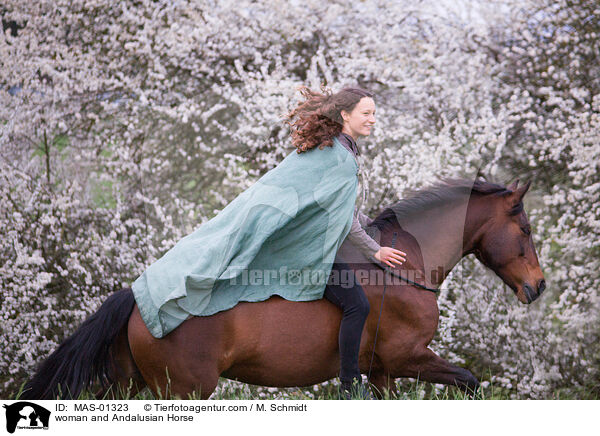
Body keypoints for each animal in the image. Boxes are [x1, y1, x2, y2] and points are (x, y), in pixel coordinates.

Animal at [21, 177, 544, 398]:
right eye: (525, 230)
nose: (538, 287)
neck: (401, 266)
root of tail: (139, 299)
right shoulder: (406, 358)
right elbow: (470, 382)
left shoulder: (382, 372)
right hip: (185, 391)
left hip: (130, 387)